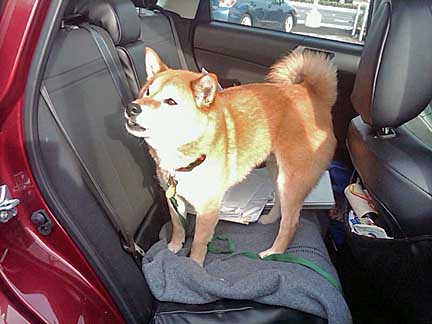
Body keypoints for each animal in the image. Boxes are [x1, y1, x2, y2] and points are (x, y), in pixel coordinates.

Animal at [125, 48, 338, 266]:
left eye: (170, 101)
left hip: (292, 180)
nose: (132, 107)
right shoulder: (175, 198)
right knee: (281, 204)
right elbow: (178, 226)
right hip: (278, 174)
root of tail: (310, 92)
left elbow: (199, 241)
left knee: (291, 222)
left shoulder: (208, 208)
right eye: (147, 92)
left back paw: (274, 251)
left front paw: (194, 264)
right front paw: (174, 247)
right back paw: (270, 219)